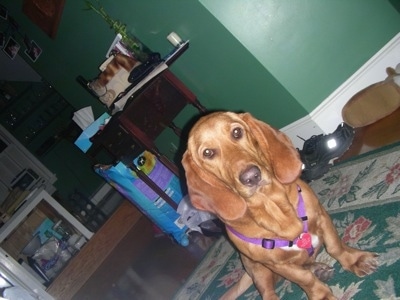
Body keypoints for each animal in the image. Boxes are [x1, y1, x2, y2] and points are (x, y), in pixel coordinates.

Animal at [182, 112, 378, 300]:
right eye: (208, 153)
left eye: (237, 132)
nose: (251, 176)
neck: (273, 206)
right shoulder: (276, 264)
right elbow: (305, 279)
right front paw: (321, 295)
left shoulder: (322, 218)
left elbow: (335, 247)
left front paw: (354, 260)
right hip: (260, 271)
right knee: (269, 294)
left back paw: (318, 268)